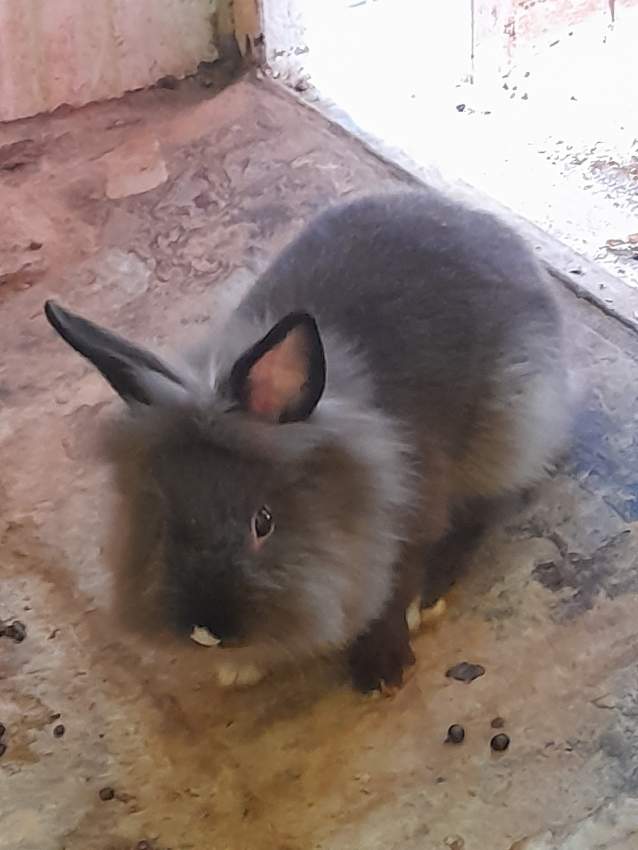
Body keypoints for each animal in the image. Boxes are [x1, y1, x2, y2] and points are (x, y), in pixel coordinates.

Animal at [44, 188, 572, 692]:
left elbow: (396, 584)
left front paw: (383, 663)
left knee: (489, 509)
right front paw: (241, 668)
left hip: (510, 427)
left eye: (264, 522)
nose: (207, 633)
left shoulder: (413, 515)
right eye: (159, 518)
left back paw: (431, 598)